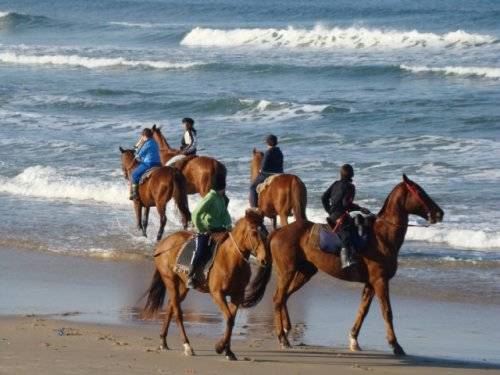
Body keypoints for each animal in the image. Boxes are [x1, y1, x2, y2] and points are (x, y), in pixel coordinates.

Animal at [143, 210, 272, 362]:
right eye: (254, 233)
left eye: (266, 233)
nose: (265, 260)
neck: (232, 259)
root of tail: (164, 243)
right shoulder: (217, 294)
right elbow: (229, 318)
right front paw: (220, 347)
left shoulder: (237, 295)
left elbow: (231, 320)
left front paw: (228, 351)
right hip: (170, 280)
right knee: (178, 312)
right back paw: (187, 346)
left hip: (183, 286)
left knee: (170, 307)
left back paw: (163, 341)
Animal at [268, 175, 444, 356]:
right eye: (419, 191)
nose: (439, 213)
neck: (382, 236)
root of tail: (278, 231)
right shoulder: (380, 281)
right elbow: (387, 312)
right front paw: (395, 345)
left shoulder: (370, 284)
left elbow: (363, 311)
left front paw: (353, 339)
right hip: (287, 271)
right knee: (278, 298)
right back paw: (282, 337)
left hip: (305, 272)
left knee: (284, 297)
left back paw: (286, 329)